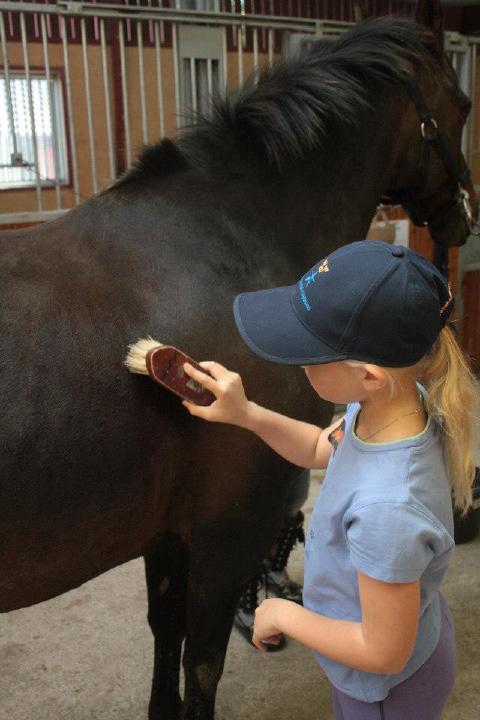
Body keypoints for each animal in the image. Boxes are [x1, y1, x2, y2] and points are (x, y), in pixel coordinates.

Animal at [0, 2, 476, 716]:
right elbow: (201, 663)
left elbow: (165, 635)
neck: (229, 232)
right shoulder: (226, 528)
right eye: (464, 105)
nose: (463, 218)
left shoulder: (169, 532)